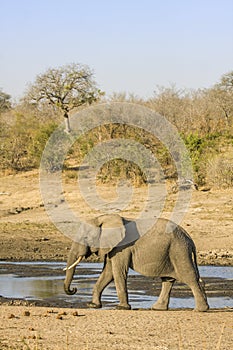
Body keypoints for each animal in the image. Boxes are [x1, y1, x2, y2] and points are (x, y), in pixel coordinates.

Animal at [63, 213, 209, 312]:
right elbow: (108, 272)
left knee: (189, 277)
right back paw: (157, 308)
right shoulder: (113, 247)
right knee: (168, 280)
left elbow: (117, 272)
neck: (103, 219)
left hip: (179, 250)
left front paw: (121, 308)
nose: (74, 289)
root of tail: (189, 237)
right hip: (171, 252)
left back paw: (200, 310)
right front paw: (93, 305)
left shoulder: (122, 247)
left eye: (85, 238)